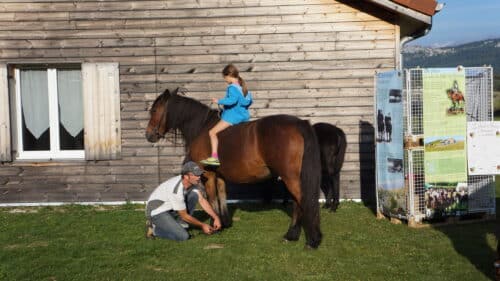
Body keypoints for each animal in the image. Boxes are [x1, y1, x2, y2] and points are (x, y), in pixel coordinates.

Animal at [146, 87, 322, 247]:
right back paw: (292, 235)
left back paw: (310, 240)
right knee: (297, 203)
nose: (148, 135)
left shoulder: (208, 175)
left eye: (154, 110)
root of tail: (299, 123)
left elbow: (212, 199)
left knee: (302, 201)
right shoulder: (220, 176)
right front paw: (223, 223)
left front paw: (215, 226)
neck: (202, 128)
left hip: (290, 177)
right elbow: (222, 197)